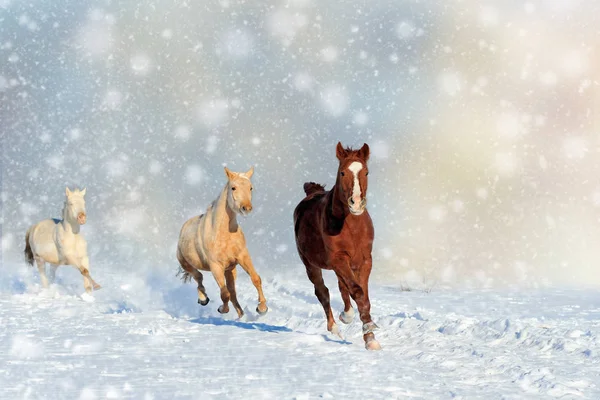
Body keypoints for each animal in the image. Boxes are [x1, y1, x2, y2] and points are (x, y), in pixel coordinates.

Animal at [177, 167, 268, 318]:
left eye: (250, 187)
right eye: (233, 187)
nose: (246, 208)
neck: (223, 234)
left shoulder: (243, 256)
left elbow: (255, 278)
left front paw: (262, 308)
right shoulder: (216, 266)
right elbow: (224, 293)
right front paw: (222, 309)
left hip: (230, 270)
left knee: (232, 292)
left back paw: (241, 315)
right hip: (186, 264)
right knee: (199, 277)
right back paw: (203, 299)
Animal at [292, 143, 382, 350]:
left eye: (366, 172)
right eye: (342, 172)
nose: (356, 203)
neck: (351, 226)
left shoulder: (364, 260)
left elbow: (362, 295)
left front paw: (370, 338)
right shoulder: (339, 258)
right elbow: (357, 292)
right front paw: (369, 334)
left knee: (342, 287)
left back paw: (345, 316)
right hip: (310, 264)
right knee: (322, 292)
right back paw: (335, 327)